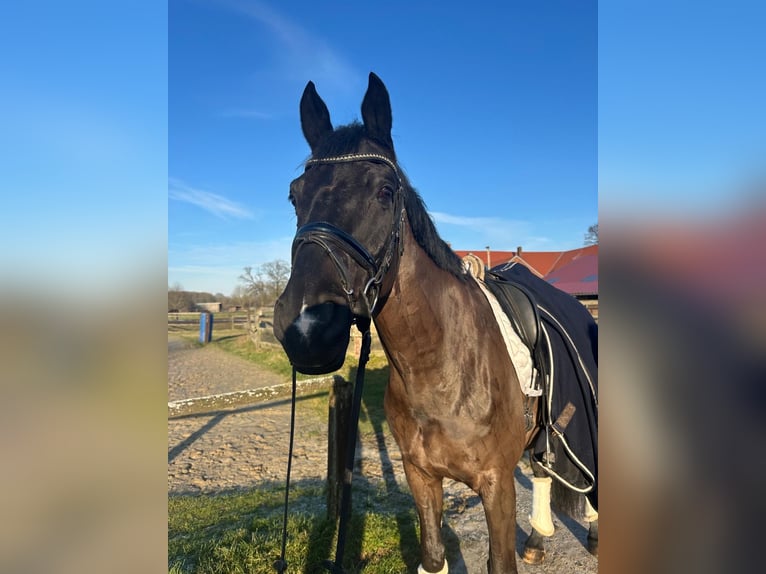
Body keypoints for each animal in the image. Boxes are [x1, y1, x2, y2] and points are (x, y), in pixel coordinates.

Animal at [276, 73, 600, 574]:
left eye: (385, 191)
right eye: (295, 194)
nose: (307, 327)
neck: (440, 366)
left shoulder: (496, 485)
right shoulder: (420, 475)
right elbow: (432, 556)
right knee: (543, 467)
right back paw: (537, 540)